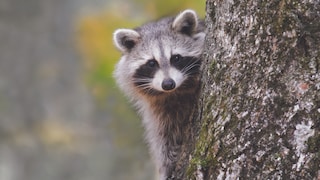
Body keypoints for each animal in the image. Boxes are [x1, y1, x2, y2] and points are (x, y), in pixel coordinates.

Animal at [113, 10, 205, 180]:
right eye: (151, 63)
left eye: (176, 58)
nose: (168, 84)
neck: (176, 92)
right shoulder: (158, 109)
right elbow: (162, 135)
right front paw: (167, 163)